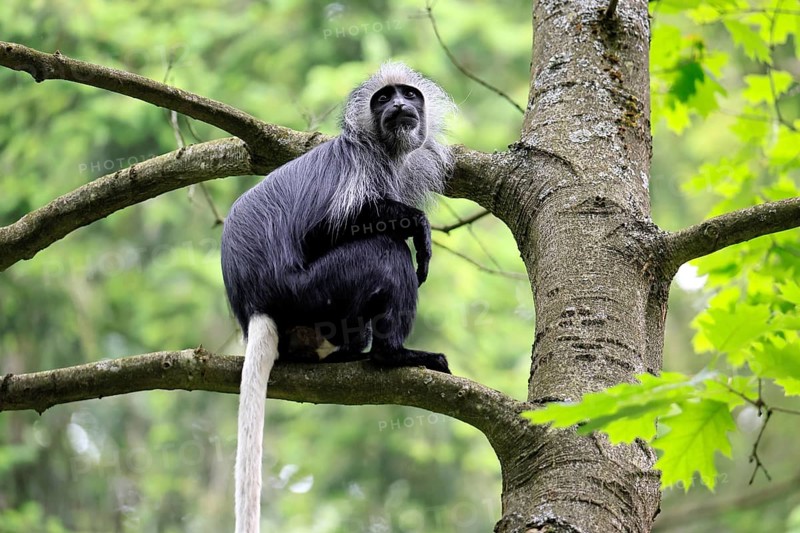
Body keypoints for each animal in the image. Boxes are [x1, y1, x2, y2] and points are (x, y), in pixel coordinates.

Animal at [219, 62, 455, 532]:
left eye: (408, 95)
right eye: (383, 99)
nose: (398, 106)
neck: (382, 149)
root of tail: (255, 305)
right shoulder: (358, 169)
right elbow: (327, 230)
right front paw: (418, 228)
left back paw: (349, 352)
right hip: (310, 290)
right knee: (384, 252)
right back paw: (393, 354)